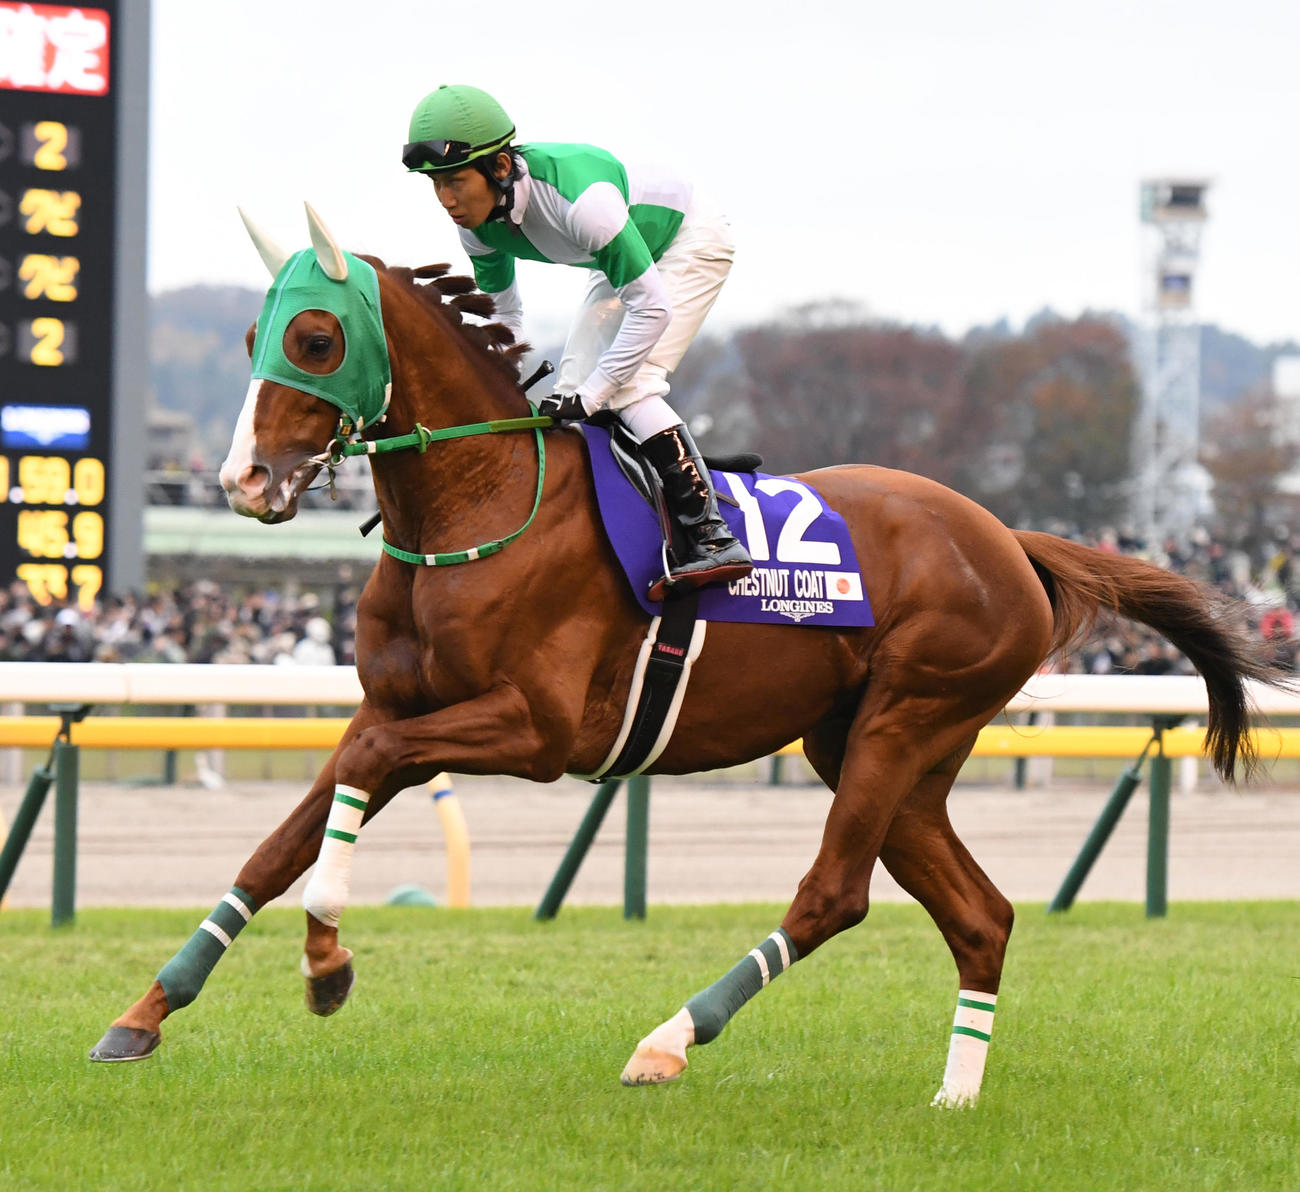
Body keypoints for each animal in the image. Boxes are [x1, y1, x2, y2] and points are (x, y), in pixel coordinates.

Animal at [90, 204, 1281, 1107]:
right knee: (980, 916)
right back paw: (955, 1095)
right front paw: (143, 1012)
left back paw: (668, 1040)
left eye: (317, 340)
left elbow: (365, 774)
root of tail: (1009, 541)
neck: (480, 501)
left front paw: (328, 958)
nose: (244, 480)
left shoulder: (536, 729)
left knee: (833, 894)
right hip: (878, 745)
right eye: (253, 334)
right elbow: (283, 836)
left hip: (910, 713)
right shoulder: (400, 708)